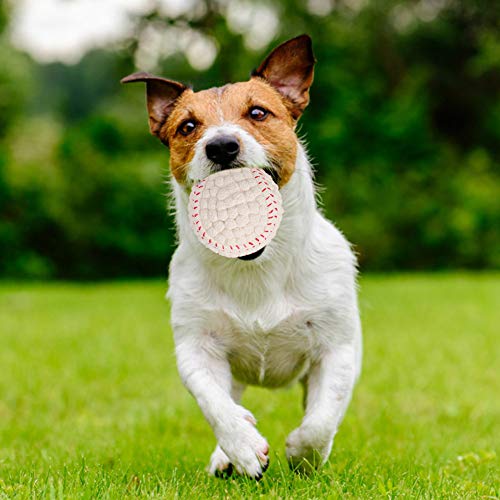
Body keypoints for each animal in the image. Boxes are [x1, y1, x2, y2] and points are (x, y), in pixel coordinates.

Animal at [122, 35, 362, 480]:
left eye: (258, 112)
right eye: (187, 126)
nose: (221, 145)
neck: (256, 267)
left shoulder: (337, 348)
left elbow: (322, 419)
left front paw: (303, 453)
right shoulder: (196, 347)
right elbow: (214, 404)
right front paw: (243, 447)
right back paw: (226, 455)